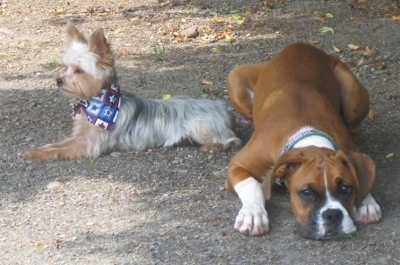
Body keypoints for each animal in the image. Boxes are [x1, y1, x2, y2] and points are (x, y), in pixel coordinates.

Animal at [225, 42, 382, 238]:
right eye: (306, 192)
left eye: (345, 188)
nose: (333, 214)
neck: (306, 133)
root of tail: (300, 45)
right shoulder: (237, 165)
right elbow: (252, 186)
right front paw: (253, 214)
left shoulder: (349, 148)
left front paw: (367, 202)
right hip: (235, 77)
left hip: (352, 90)